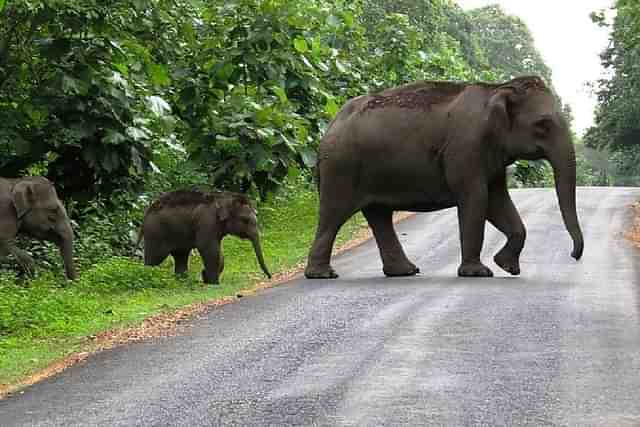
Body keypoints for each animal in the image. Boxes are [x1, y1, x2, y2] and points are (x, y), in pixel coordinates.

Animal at [139, 191, 272, 284]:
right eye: (245, 220)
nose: (270, 277)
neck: (222, 198)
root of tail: (146, 213)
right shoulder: (207, 222)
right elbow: (208, 248)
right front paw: (214, 283)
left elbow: (218, 253)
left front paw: (207, 277)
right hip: (155, 233)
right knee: (154, 259)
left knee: (181, 256)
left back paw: (183, 281)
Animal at [304, 75, 584, 280]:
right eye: (543, 125)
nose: (574, 255)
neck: (498, 88)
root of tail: (331, 124)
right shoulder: (465, 147)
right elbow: (476, 197)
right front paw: (478, 273)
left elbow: (497, 201)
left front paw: (507, 267)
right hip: (340, 167)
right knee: (333, 214)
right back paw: (323, 275)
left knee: (379, 215)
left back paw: (405, 272)